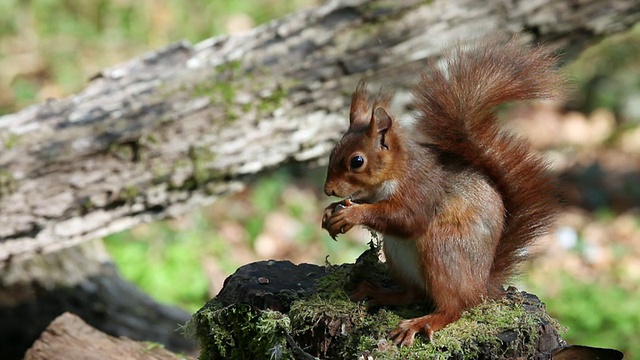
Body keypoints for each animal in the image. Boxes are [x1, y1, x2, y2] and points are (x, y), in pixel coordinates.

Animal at [322, 35, 564, 346]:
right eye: (332, 152)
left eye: (357, 161)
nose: (328, 190)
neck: (398, 170)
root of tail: (481, 286)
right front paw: (332, 211)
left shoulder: (421, 189)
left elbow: (406, 218)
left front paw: (351, 215)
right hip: (398, 257)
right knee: (413, 293)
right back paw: (378, 292)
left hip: (442, 253)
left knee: (453, 308)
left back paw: (419, 323)